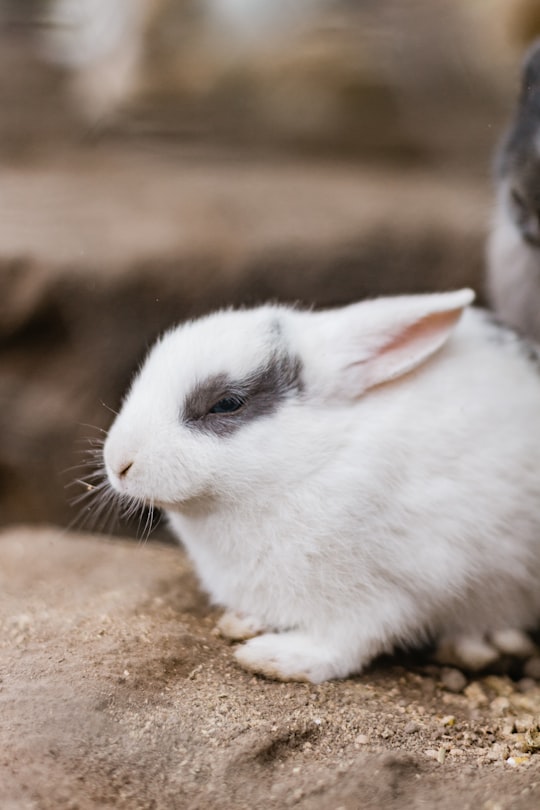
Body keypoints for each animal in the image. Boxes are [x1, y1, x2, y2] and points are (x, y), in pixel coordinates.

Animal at [102, 290, 540, 680]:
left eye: (226, 404)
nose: (118, 463)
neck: (309, 463)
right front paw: (242, 623)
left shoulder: (389, 594)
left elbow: (345, 642)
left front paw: (275, 658)